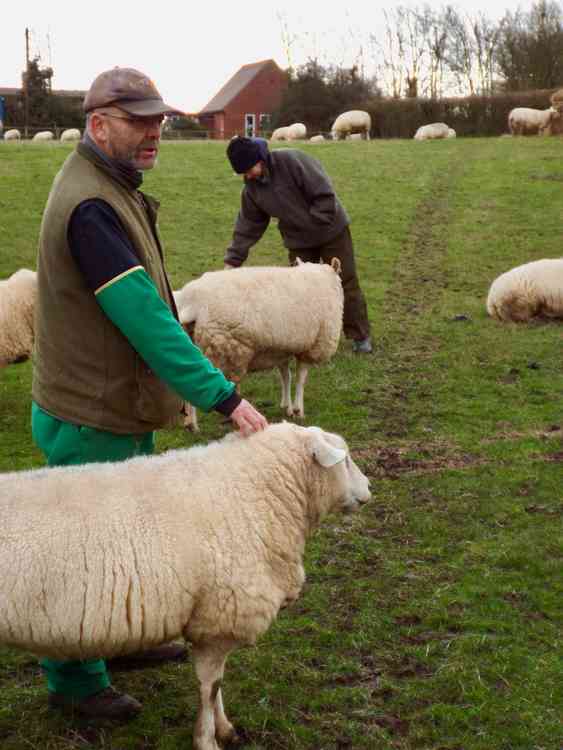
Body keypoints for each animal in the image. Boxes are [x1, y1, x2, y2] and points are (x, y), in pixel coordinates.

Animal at [0, 424, 372, 750]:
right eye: (345, 459)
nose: (370, 490)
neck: (255, 490)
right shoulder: (219, 618)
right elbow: (210, 687)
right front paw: (208, 739)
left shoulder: (214, 621)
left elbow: (217, 684)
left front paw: (225, 729)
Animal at [175, 260, 344, 432]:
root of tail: (190, 302)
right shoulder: (313, 346)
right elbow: (300, 379)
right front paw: (298, 409)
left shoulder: (281, 350)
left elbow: (286, 376)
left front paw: (287, 406)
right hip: (227, 350)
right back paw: (202, 423)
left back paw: (190, 422)